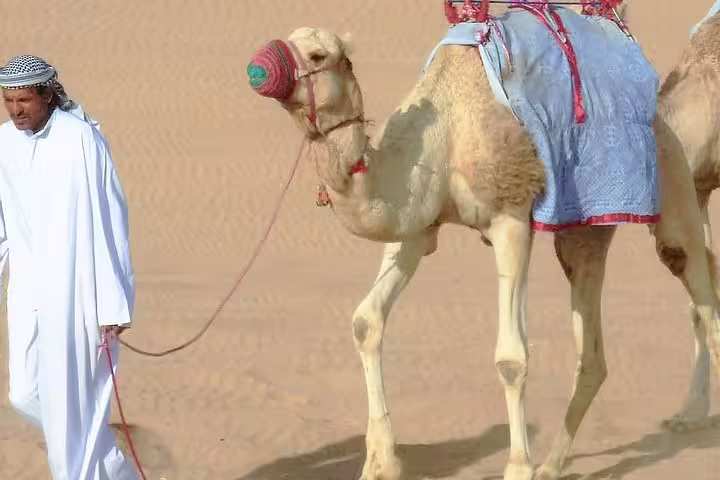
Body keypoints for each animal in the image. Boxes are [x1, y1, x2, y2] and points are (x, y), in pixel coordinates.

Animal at [246, 4, 720, 480]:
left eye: (318, 55)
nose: (258, 67)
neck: (446, 131)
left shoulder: (510, 217)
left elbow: (511, 358)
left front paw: (517, 466)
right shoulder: (417, 225)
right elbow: (366, 321)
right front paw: (381, 462)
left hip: (672, 176)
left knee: (695, 280)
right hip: (585, 226)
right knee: (593, 350)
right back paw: (552, 465)